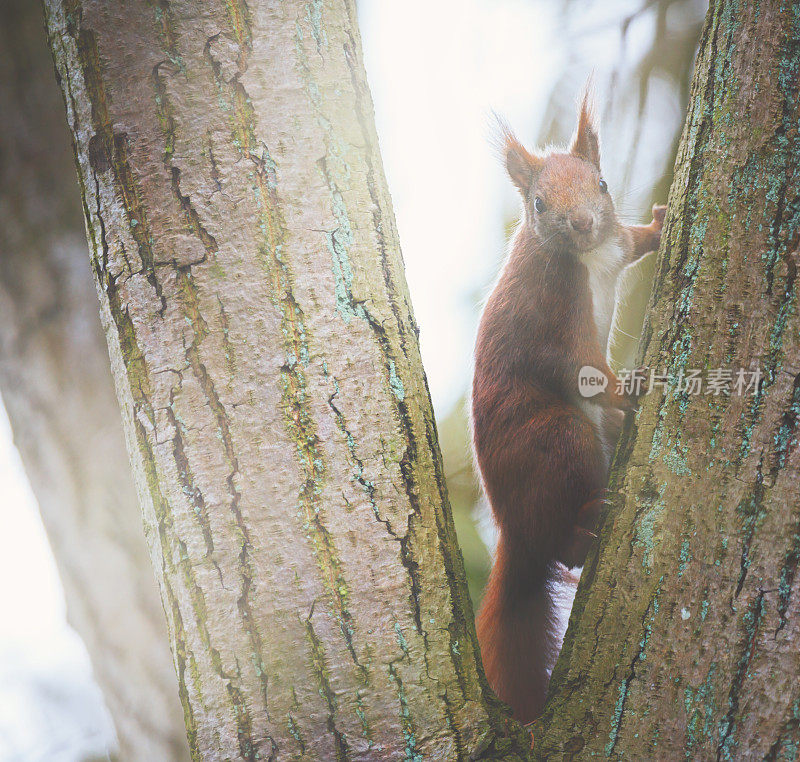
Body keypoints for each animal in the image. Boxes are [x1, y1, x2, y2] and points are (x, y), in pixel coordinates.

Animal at [472, 92, 664, 720]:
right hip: (560, 440)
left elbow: (634, 240)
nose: (580, 223)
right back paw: (587, 524)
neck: (589, 255)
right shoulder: (555, 318)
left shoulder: (615, 243)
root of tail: (512, 528)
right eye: (537, 203)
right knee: (564, 552)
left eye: (601, 183)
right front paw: (629, 389)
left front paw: (659, 225)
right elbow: (583, 370)